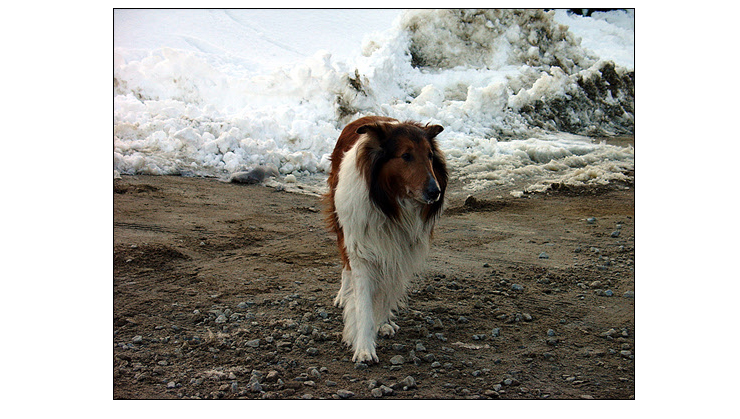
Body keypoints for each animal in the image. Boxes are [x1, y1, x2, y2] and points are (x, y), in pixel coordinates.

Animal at [322, 115, 448, 364]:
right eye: (406, 155)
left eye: (430, 155)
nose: (435, 192)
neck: (391, 205)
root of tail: (366, 117)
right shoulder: (361, 251)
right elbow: (363, 304)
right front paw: (364, 348)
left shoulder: (399, 252)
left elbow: (387, 292)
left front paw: (382, 323)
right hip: (342, 226)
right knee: (345, 265)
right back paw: (343, 295)